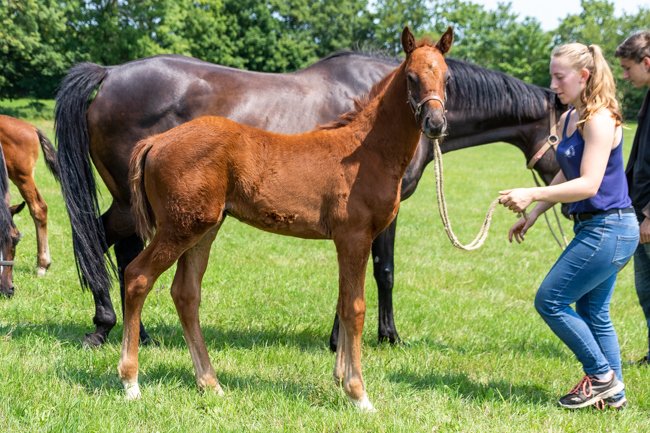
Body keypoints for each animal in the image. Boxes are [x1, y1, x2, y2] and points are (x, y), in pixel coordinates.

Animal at [0, 115, 60, 295]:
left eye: (16, 240)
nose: (9, 290)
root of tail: (31, 127)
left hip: (22, 175)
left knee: (39, 208)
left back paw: (42, 265)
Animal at [55, 34, 563, 349]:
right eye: (568, 127)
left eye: (448, 80)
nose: (566, 180)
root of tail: (110, 73)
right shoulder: (383, 213)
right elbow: (383, 271)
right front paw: (382, 337)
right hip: (136, 203)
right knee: (100, 243)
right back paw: (104, 327)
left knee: (118, 249)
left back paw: (135, 332)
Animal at [118, 27, 452, 410]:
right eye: (411, 77)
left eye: (447, 77)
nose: (435, 124)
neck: (365, 152)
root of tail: (156, 141)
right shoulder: (355, 236)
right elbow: (355, 308)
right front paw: (359, 394)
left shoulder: (348, 241)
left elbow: (343, 302)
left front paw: (340, 380)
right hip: (179, 228)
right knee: (137, 277)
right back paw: (130, 382)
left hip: (204, 228)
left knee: (185, 294)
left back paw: (210, 383)